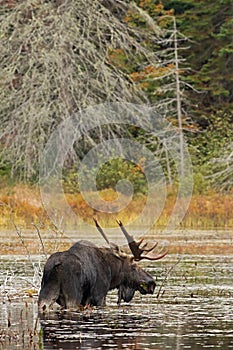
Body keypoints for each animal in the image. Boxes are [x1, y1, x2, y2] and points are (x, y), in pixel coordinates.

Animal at [37, 219, 167, 312]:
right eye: (134, 266)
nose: (152, 283)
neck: (112, 272)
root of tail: (56, 266)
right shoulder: (99, 296)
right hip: (73, 296)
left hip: (46, 293)